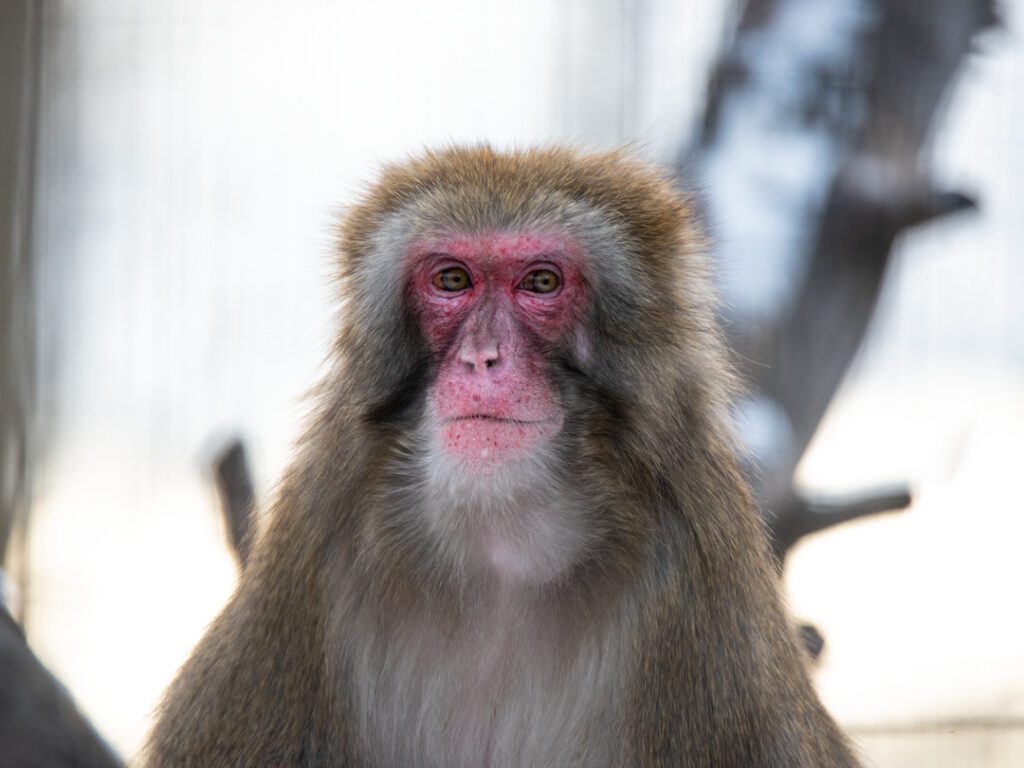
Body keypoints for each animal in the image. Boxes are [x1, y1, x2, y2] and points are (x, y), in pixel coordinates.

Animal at [142, 146, 860, 767]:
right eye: (452, 279)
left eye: (540, 282)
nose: (482, 358)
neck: (501, 549)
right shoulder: (308, 556)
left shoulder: (700, 581)